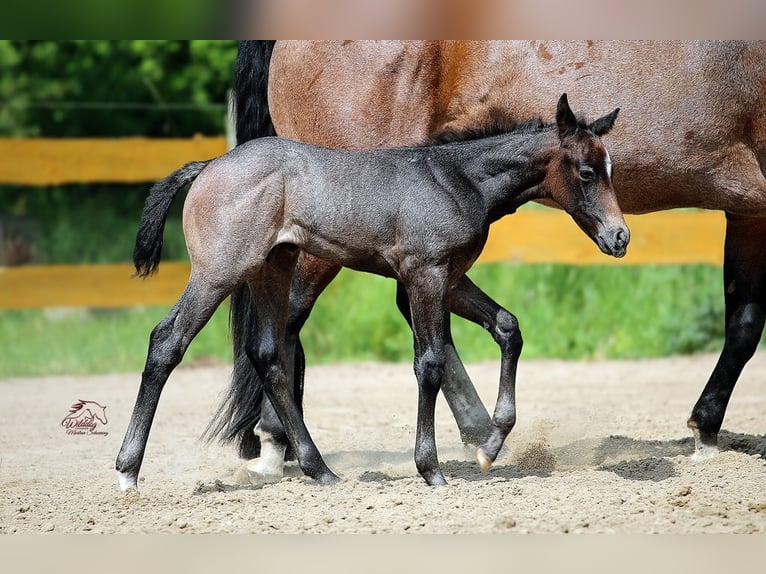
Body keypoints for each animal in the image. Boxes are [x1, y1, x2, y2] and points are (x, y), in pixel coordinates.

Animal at [115, 93, 627, 488]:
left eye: (610, 167)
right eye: (586, 172)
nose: (620, 237)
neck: (457, 179)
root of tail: (208, 166)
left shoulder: (451, 278)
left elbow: (507, 327)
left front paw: (490, 446)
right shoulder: (425, 274)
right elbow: (430, 363)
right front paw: (431, 469)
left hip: (271, 269)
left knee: (267, 354)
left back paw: (319, 469)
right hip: (219, 272)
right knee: (167, 341)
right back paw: (128, 472)